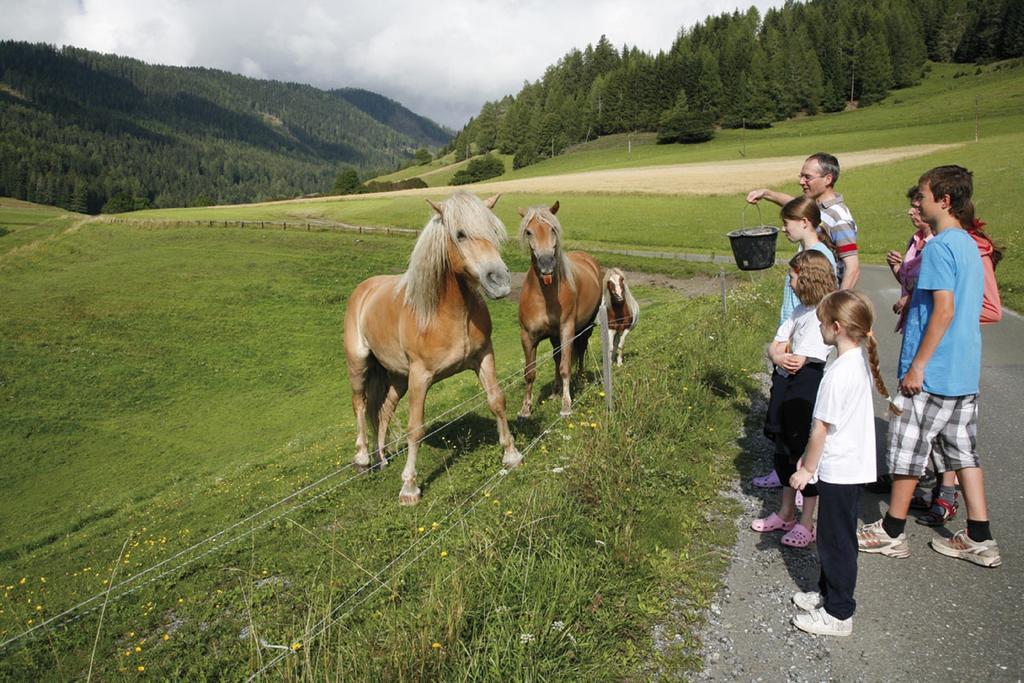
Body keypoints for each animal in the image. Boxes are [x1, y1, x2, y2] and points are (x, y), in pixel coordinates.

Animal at [344, 189, 524, 505]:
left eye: (493, 231)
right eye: (460, 234)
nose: (500, 282)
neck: (443, 313)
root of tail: (363, 290)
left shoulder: (484, 357)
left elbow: (497, 401)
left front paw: (511, 455)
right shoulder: (420, 376)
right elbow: (416, 428)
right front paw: (409, 488)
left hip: (398, 377)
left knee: (384, 409)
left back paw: (383, 457)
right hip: (359, 365)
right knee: (360, 404)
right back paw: (364, 459)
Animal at [516, 200, 602, 419]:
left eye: (553, 229)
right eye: (529, 231)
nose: (546, 263)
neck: (544, 296)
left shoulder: (567, 330)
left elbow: (565, 367)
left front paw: (566, 405)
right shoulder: (528, 336)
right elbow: (529, 372)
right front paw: (525, 408)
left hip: (585, 327)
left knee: (581, 350)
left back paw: (581, 378)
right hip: (555, 335)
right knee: (556, 356)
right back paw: (555, 392)